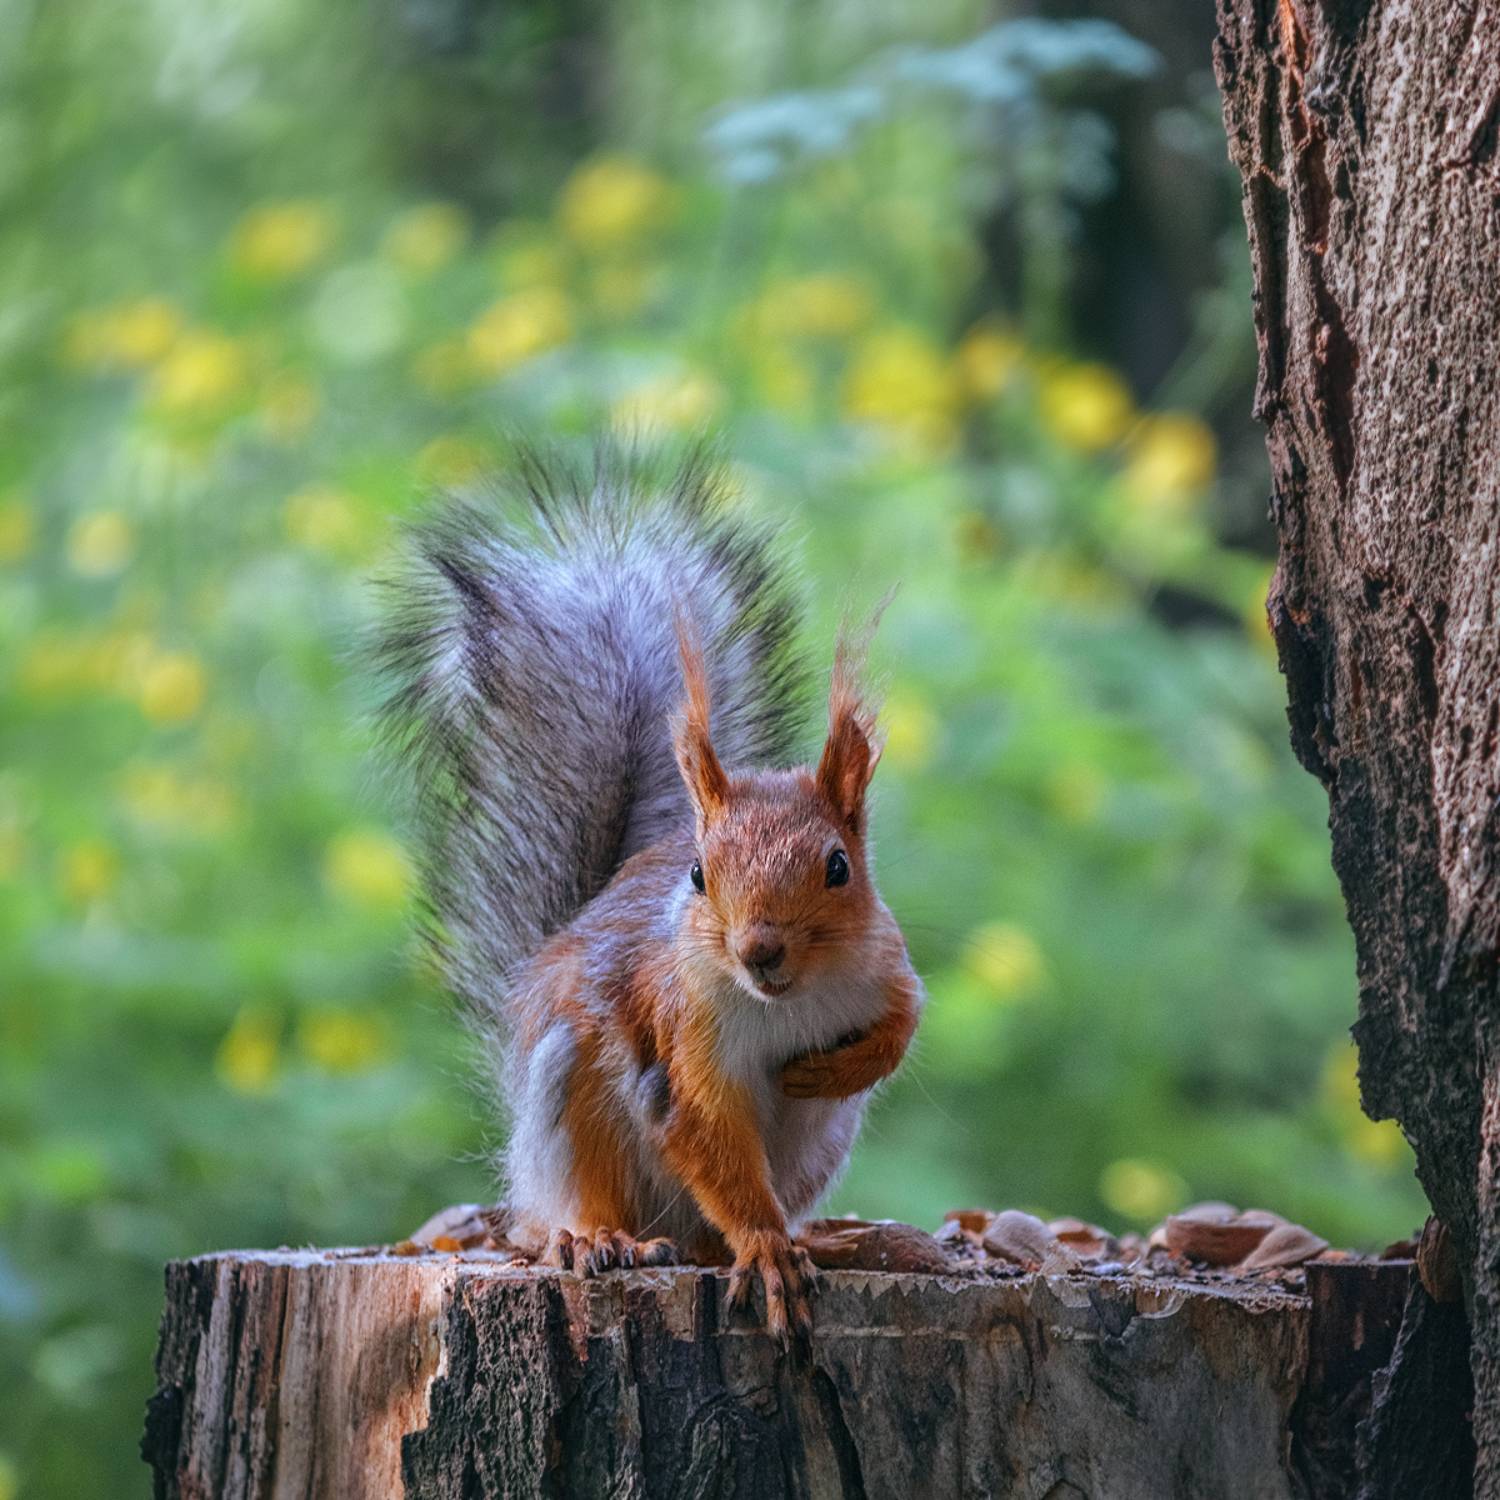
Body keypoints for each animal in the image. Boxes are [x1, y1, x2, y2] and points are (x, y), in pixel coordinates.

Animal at [379, 450, 924, 1339]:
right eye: (699, 874)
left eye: (839, 867)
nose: (759, 949)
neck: (787, 1000)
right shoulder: (685, 1032)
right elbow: (706, 1133)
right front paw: (766, 1250)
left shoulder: (885, 966)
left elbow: (902, 1028)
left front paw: (831, 1071)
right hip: (570, 1096)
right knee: (593, 1199)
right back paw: (601, 1240)